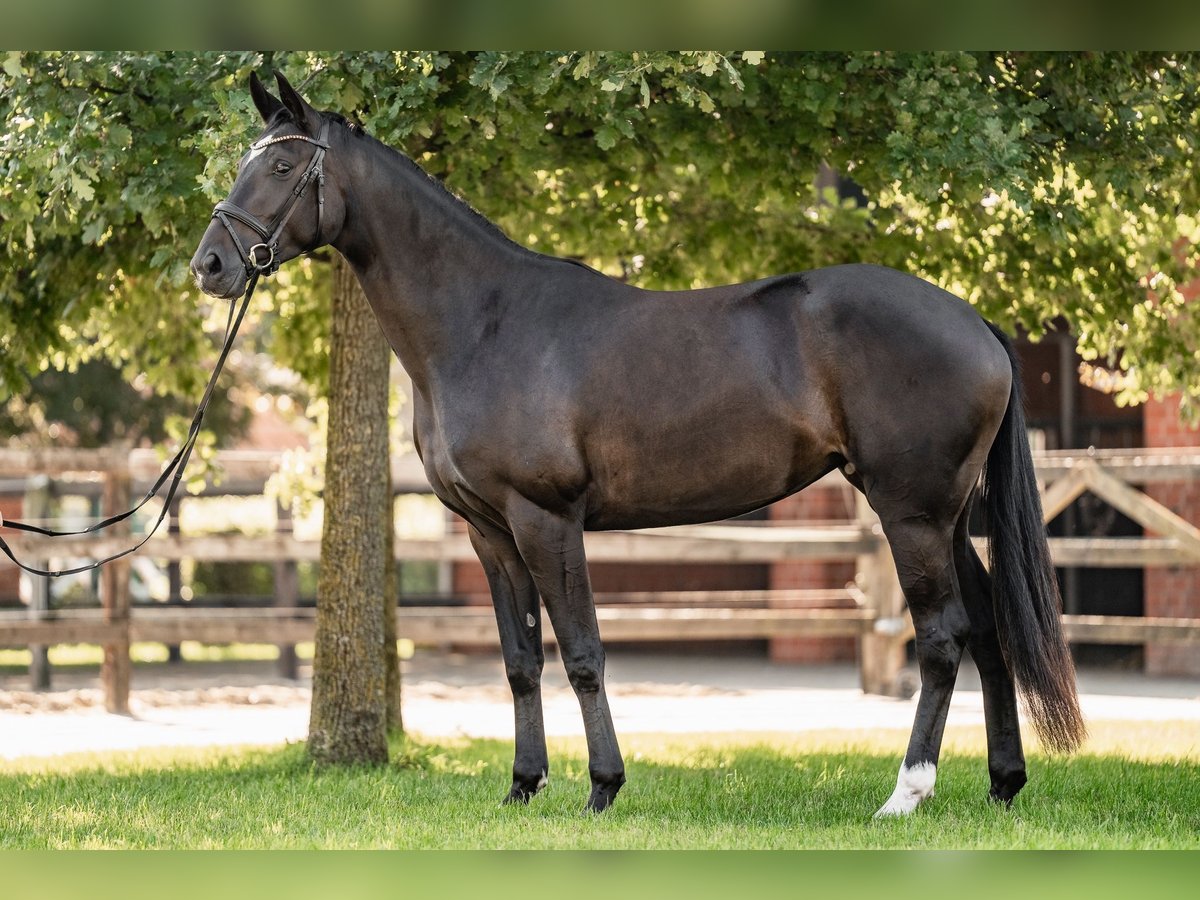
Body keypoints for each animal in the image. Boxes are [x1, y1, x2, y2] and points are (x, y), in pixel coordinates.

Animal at [189, 72, 1089, 816]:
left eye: (281, 167)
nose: (210, 265)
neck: (484, 322)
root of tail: (974, 320)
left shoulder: (546, 519)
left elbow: (583, 652)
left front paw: (602, 787)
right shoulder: (488, 532)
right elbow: (521, 660)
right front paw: (523, 787)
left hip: (911, 513)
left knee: (942, 638)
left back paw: (905, 795)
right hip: (948, 516)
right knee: (989, 629)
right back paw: (1003, 786)